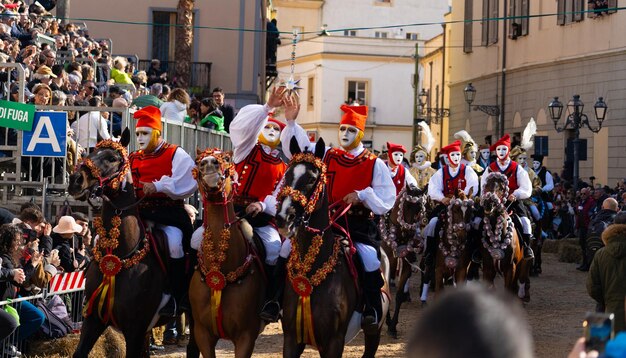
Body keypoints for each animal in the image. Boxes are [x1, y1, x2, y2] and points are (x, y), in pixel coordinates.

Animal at [67, 130, 171, 356]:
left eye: (112, 158)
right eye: (91, 152)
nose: (76, 180)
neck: (119, 256)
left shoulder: (135, 330)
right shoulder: (93, 320)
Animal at [188, 147, 266, 356]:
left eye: (226, 158)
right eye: (198, 161)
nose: (209, 164)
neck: (221, 271)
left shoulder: (246, 337)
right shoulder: (202, 333)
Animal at [276, 138, 388, 358]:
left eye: (311, 179)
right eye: (287, 175)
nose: (284, 218)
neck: (313, 270)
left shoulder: (334, 342)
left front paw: (356, 196)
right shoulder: (292, 339)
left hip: (374, 333)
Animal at [378, 185, 426, 338]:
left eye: (420, 208)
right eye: (406, 205)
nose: (409, 231)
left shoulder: (405, 267)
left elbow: (398, 296)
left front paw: (393, 326)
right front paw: (387, 321)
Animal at [480, 172, 528, 300]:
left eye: (502, 188)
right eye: (487, 184)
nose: (489, 204)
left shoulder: (510, 268)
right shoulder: (488, 268)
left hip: (521, 264)